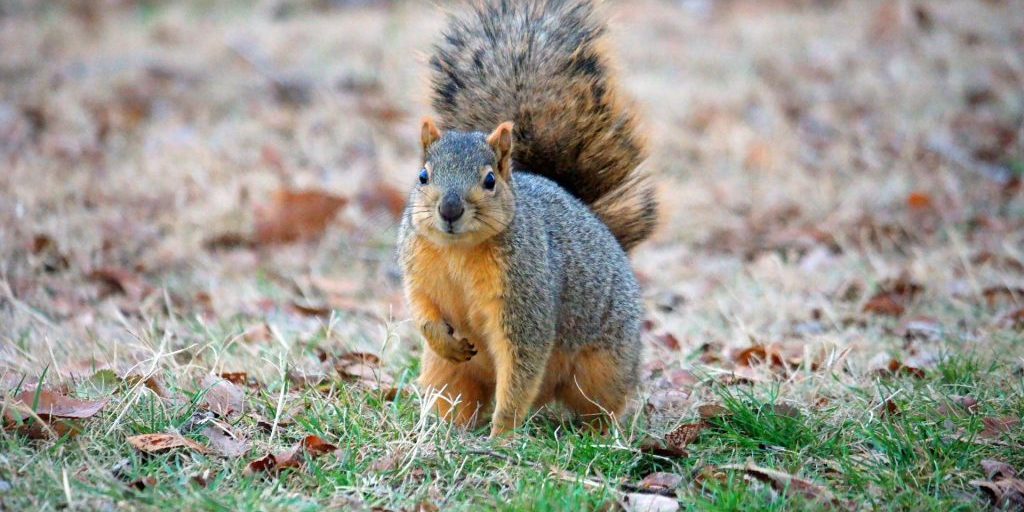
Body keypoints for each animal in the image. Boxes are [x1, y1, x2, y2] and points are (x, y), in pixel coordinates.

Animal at [397, 0, 657, 437]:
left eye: (489, 180)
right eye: (423, 176)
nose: (449, 210)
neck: (458, 251)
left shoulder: (526, 297)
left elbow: (521, 364)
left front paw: (502, 435)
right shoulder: (419, 271)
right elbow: (423, 310)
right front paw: (443, 338)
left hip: (603, 366)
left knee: (601, 403)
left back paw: (602, 435)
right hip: (446, 375)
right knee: (455, 394)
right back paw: (442, 429)